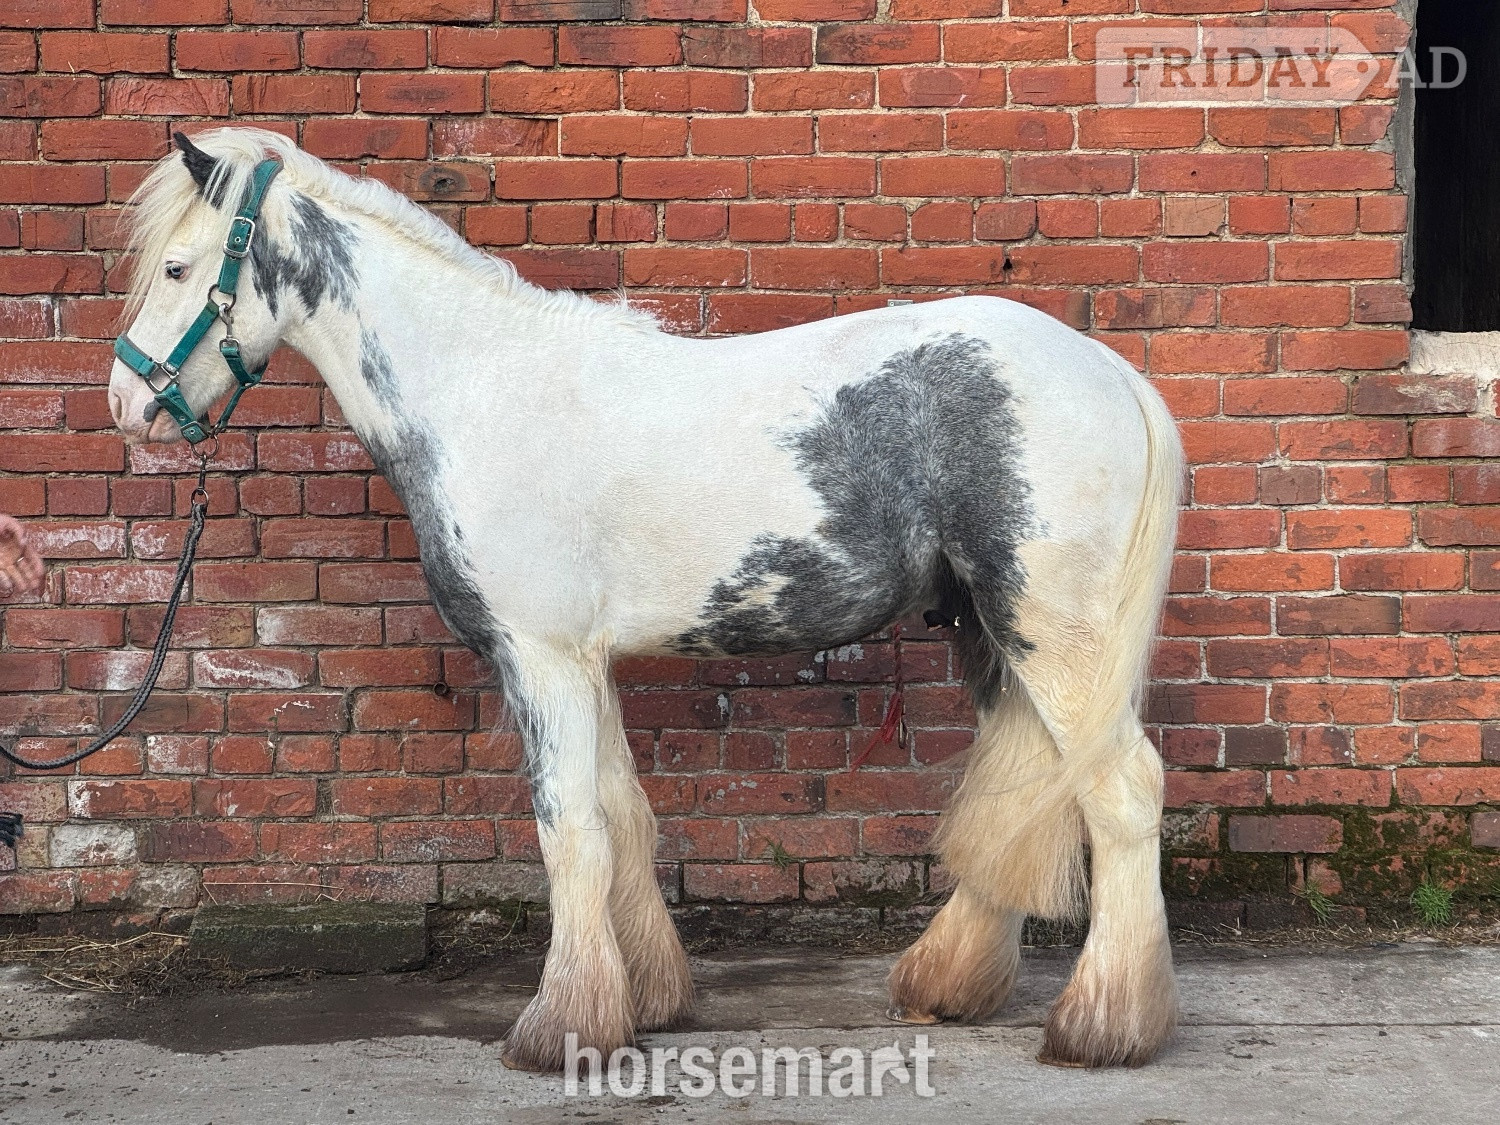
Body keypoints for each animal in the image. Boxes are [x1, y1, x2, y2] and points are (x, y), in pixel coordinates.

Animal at [108, 128, 1184, 1071]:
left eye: (178, 269)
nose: (131, 406)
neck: (483, 391)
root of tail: (1111, 372)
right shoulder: (586, 661)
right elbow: (622, 818)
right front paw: (648, 1000)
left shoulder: (540, 656)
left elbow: (569, 832)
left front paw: (560, 1030)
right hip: (989, 628)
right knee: (1023, 792)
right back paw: (950, 985)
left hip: (1053, 630)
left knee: (1121, 791)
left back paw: (1105, 1028)